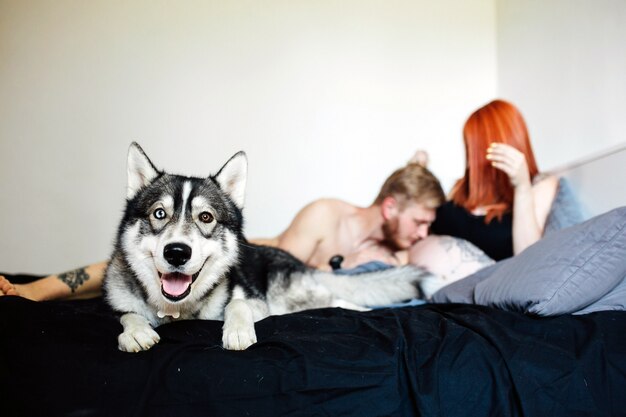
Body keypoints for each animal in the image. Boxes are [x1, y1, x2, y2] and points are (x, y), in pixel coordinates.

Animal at [103, 143, 434, 352]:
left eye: (206, 217)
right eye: (159, 214)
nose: (176, 252)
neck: (177, 311)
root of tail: (298, 262)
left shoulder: (258, 304)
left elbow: (237, 304)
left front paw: (237, 330)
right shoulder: (118, 303)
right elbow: (126, 314)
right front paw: (136, 331)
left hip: (288, 298)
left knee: (339, 302)